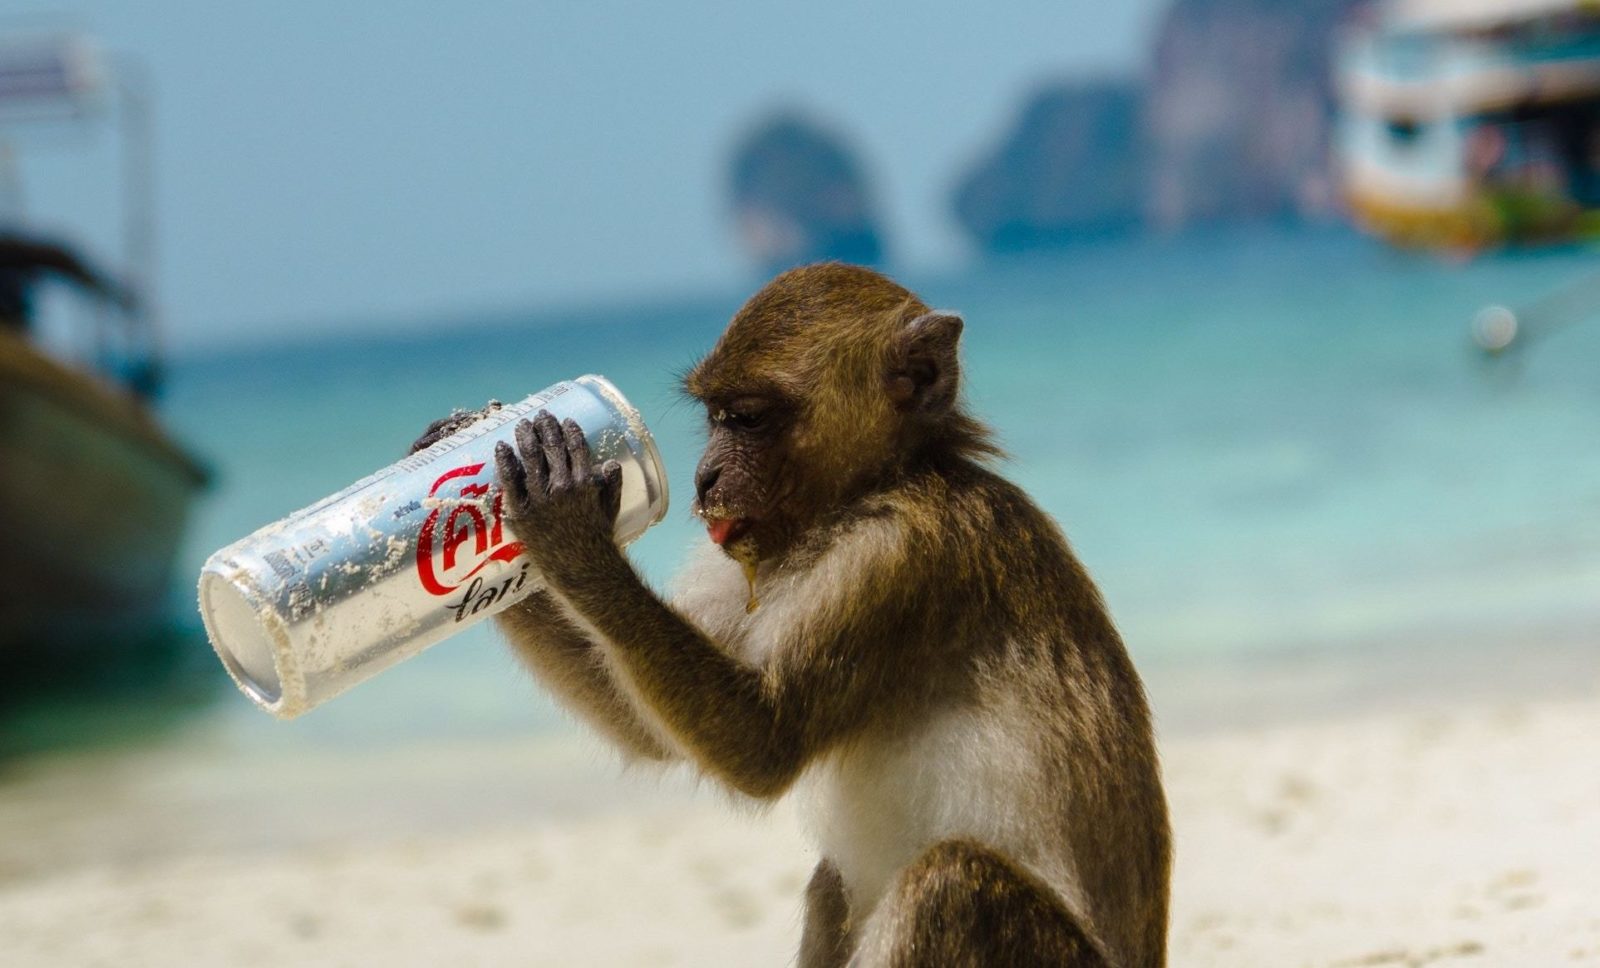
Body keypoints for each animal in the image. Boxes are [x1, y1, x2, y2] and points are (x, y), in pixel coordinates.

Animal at [411, 263, 1170, 966]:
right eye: (714, 417)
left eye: (747, 417)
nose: (704, 478)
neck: (878, 486)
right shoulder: (741, 558)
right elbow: (647, 727)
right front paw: (457, 462)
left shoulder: (899, 556)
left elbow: (764, 744)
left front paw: (565, 525)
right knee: (840, 884)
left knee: (949, 882)